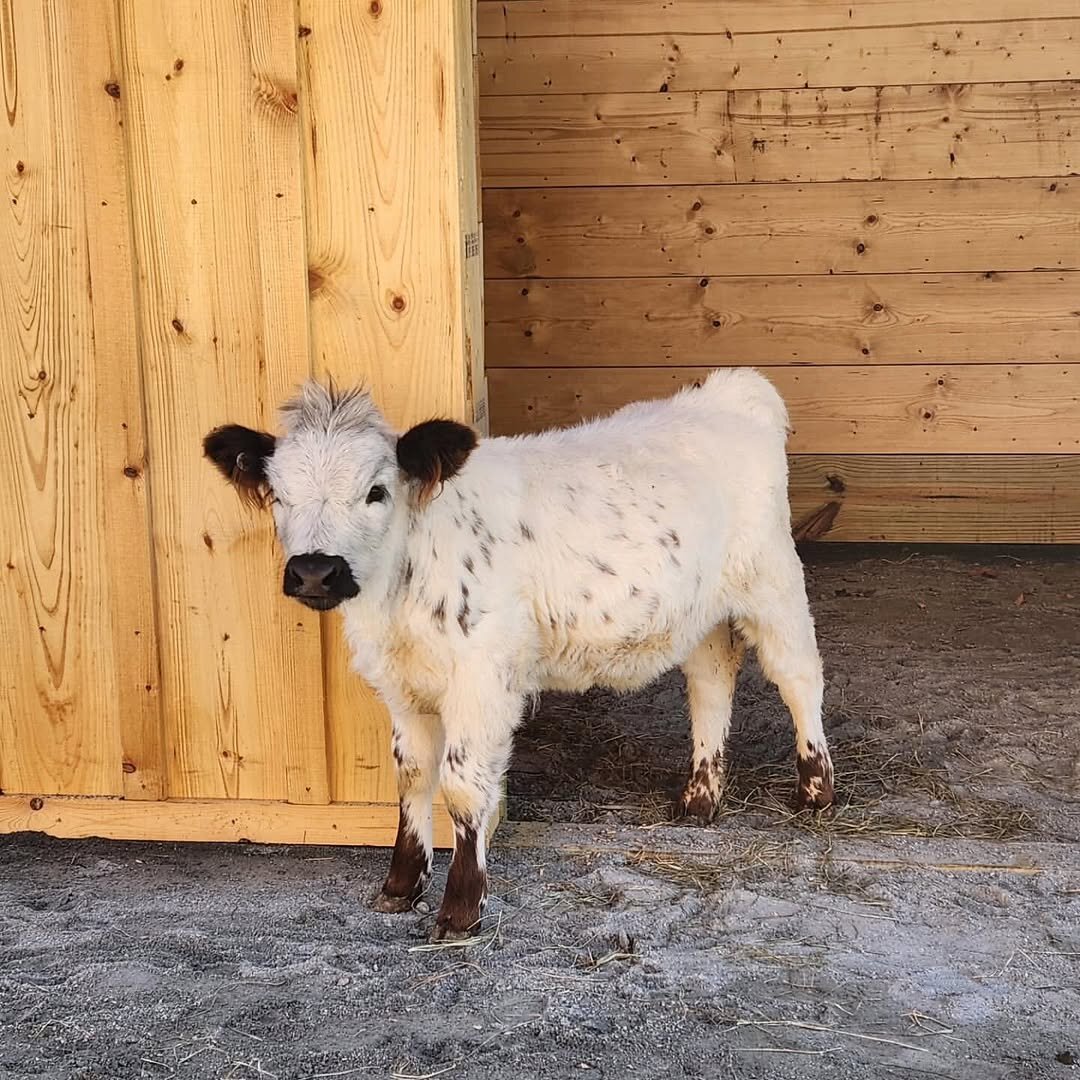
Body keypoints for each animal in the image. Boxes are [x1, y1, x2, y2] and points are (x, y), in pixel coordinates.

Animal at [203, 369, 834, 940]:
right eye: (279, 496)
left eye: (375, 491)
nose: (315, 570)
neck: (397, 594)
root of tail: (732, 389)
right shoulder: (402, 685)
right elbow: (411, 776)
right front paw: (400, 886)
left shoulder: (483, 678)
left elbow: (462, 786)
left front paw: (461, 909)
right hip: (698, 608)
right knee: (711, 677)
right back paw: (700, 799)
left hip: (773, 579)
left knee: (798, 675)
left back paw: (815, 790)